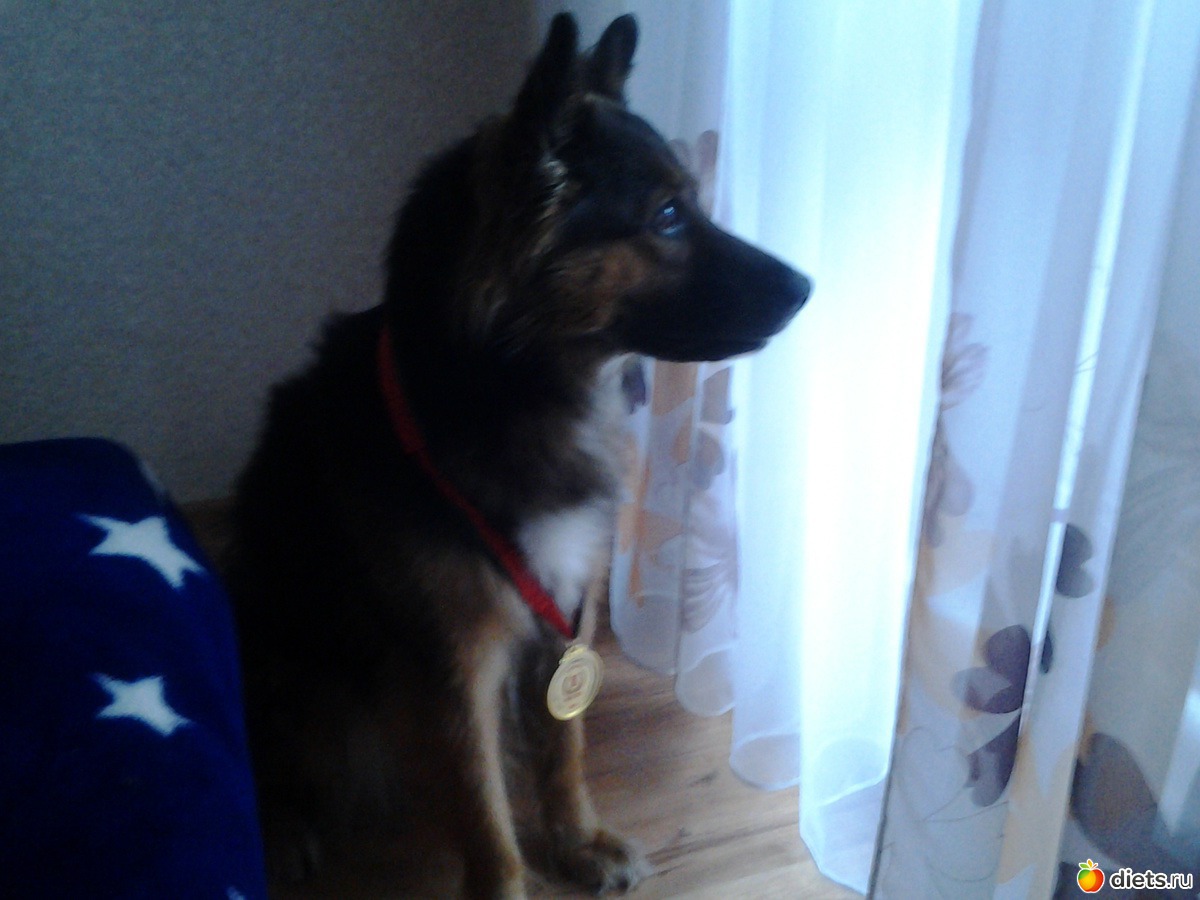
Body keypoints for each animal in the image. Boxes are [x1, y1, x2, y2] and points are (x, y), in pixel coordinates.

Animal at [226, 12, 810, 898]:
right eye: (668, 216)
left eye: (689, 205)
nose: (806, 289)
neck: (506, 387)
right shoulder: (453, 659)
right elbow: (482, 810)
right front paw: (507, 877)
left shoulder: (571, 612)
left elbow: (563, 747)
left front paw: (578, 841)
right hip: (290, 659)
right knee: (274, 753)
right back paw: (283, 829)